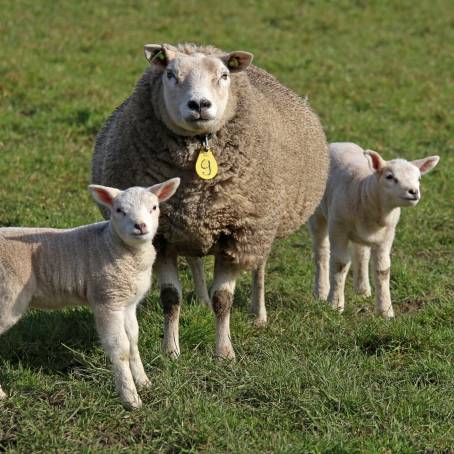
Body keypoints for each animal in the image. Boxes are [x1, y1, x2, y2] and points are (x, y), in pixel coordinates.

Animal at [0, 176, 181, 408]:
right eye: (119, 210)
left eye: (154, 207)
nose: (140, 226)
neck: (112, 243)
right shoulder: (107, 299)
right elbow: (120, 349)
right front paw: (131, 398)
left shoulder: (127, 303)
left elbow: (133, 341)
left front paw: (143, 382)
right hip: (7, 296)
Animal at [92, 44, 328, 360]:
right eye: (170, 74)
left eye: (224, 75)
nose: (200, 105)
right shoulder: (162, 237)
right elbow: (171, 298)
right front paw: (171, 351)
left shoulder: (237, 234)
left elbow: (223, 300)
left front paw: (224, 352)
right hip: (189, 227)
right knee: (194, 258)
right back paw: (202, 299)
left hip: (262, 227)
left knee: (260, 267)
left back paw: (258, 314)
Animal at [306, 144, 438, 318]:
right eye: (389, 177)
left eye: (419, 178)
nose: (413, 191)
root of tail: (337, 143)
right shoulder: (338, 228)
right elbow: (340, 264)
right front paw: (335, 304)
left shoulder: (387, 236)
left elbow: (383, 270)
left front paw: (386, 311)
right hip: (317, 213)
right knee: (321, 252)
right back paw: (320, 292)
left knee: (361, 253)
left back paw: (362, 290)